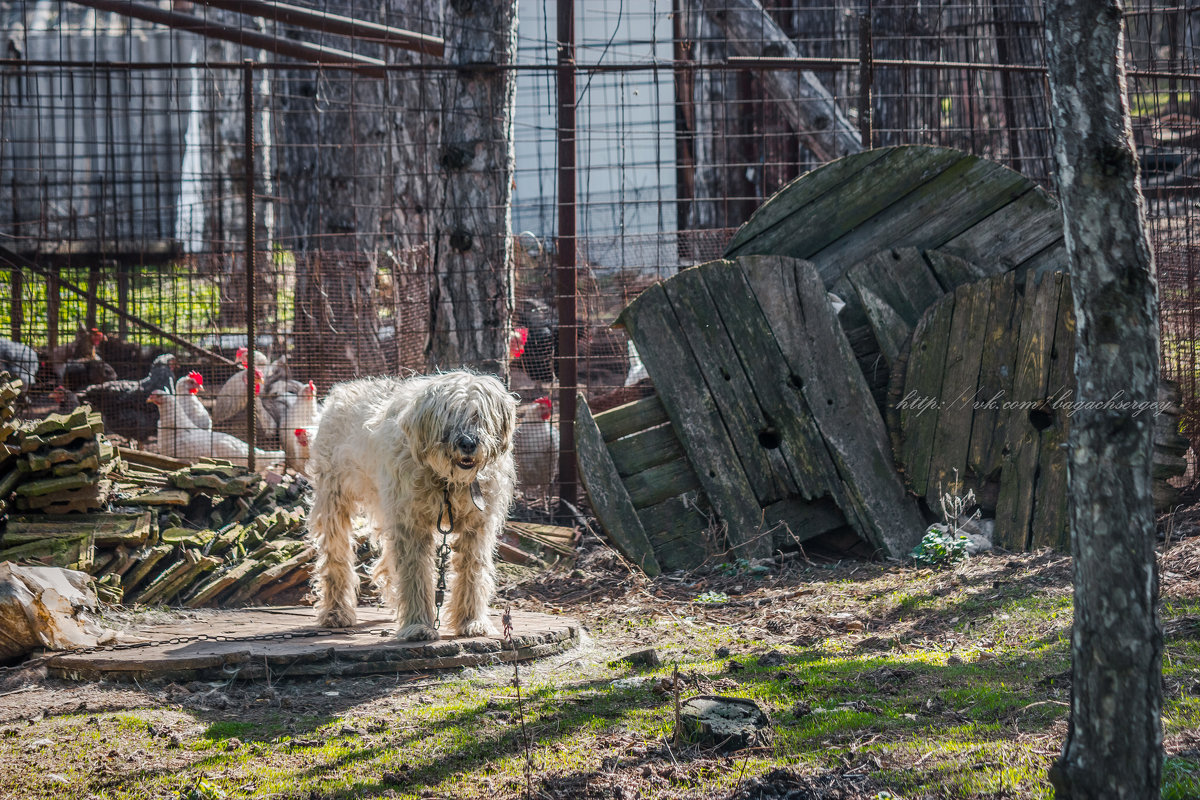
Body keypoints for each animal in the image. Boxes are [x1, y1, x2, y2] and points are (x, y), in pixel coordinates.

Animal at [304, 371, 516, 642]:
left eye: (478, 415)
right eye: (449, 415)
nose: (468, 443)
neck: (448, 482)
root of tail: (342, 390)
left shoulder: (476, 527)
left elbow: (472, 572)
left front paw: (472, 621)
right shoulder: (411, 524)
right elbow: (415, 574)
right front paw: (418, 625)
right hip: (334, 500)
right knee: (336, 557)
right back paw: (336, 611)